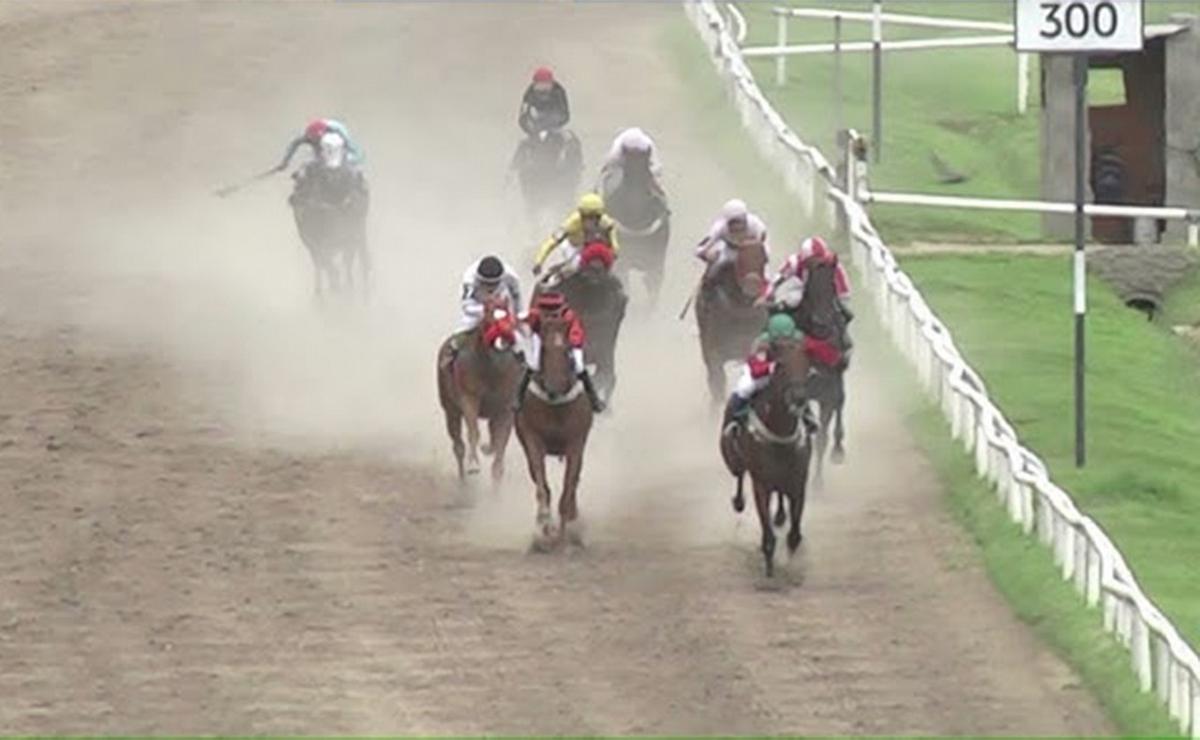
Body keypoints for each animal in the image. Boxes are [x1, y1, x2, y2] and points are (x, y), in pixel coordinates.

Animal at [436, 293, 520, 484]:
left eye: (507, 313)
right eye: (488, 312)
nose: (502, 341)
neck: (492, 369)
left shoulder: (506, 408)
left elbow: (500, 442)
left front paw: (496, 470)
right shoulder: (469, 398)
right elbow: (474, 431)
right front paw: (473, 464)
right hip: (450, 408)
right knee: (458, 445)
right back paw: (463, 481)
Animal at [513, 307, 592, 549]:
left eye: (566, 349)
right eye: (544, 349)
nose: (554, 388)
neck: (555, 405)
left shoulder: (576, 443)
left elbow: (568, 488)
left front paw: (564, 537)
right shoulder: (532, 440)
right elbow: (542, 485)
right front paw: (544, 527)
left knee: (574, 483)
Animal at [720, 335, 816, 578]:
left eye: (807, 365)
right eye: (780, 365)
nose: (798, 398)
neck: (780, 433)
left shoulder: (798, 482)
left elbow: (794, 535)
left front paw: (790, 560)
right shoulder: (761, 484)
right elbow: (769, 535)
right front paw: (770, 568)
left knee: (780, 495)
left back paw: (780, 515)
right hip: (733, 460)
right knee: (739, 474)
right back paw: (739, 501)